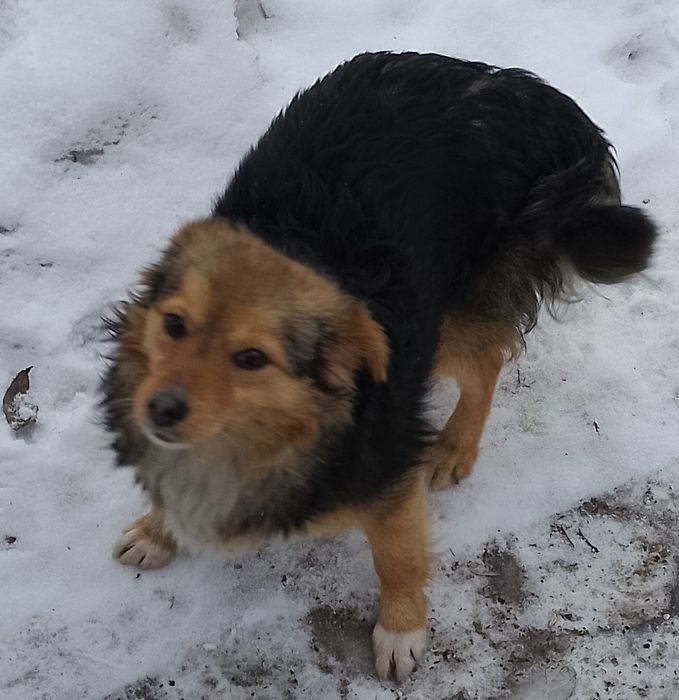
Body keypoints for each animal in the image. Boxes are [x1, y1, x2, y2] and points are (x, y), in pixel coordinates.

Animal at [102, 51, 656, 681]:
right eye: (173, 323)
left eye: (252, 358)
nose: (159, 410)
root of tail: (540, 96)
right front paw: (156, 530)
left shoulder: (388, 466)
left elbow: (396, 555)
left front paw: (400, 627)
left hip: (454, 312)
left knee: (486, 362)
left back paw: (454, 448)